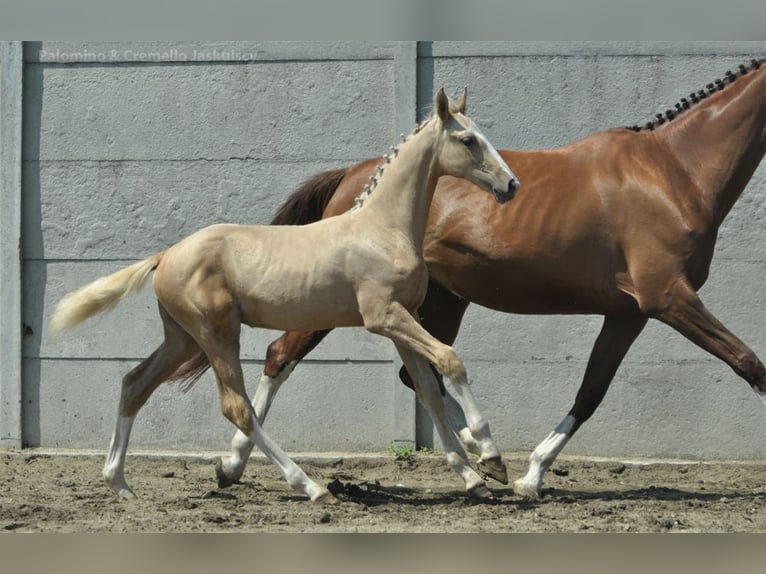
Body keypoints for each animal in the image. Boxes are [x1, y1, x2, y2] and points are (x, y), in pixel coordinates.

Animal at [49, 89, 520, 504]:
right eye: (468, 139)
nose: (511, 185)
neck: (383, 228)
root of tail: (166, 255)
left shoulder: (403, 320)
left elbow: (428, 389)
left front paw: (472, 479)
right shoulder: (383, 316)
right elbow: (450, 361)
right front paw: (490, 454)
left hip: (181, 337)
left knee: (135, 384)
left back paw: (120, 484)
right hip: (217, 332)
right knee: (237, 407)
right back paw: (310, 487)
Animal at [216, 57, 766, 500]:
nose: (509, 185)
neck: (672, 171)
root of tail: (352, 177)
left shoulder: (629, 312)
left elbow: (591, 392)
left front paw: (531, 475)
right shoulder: (669, 298)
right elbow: (748, 363)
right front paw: (523, 472)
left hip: (439, 301)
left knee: (420, 374)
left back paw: (481, 459)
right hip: (342, 304)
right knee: (280, 356)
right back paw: (238, 465)